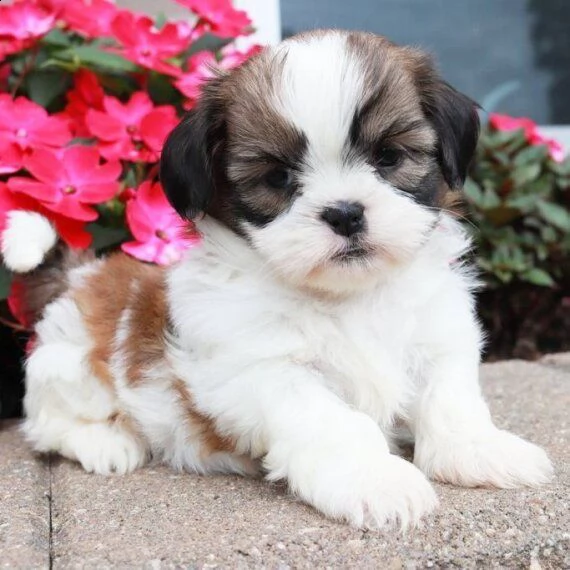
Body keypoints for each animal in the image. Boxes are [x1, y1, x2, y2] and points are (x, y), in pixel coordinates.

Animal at [1, 32, 552, 528]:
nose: (345, 212)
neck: (348, 297)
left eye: (389, 157)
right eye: (279, 178)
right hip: (72, 370)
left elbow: (451, 399)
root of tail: (81, 275)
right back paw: (107, 442)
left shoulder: (439, 338)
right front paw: (377, 481)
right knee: (47, 423)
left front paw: (481, 450)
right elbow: (339, 424)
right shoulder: (265, 371)